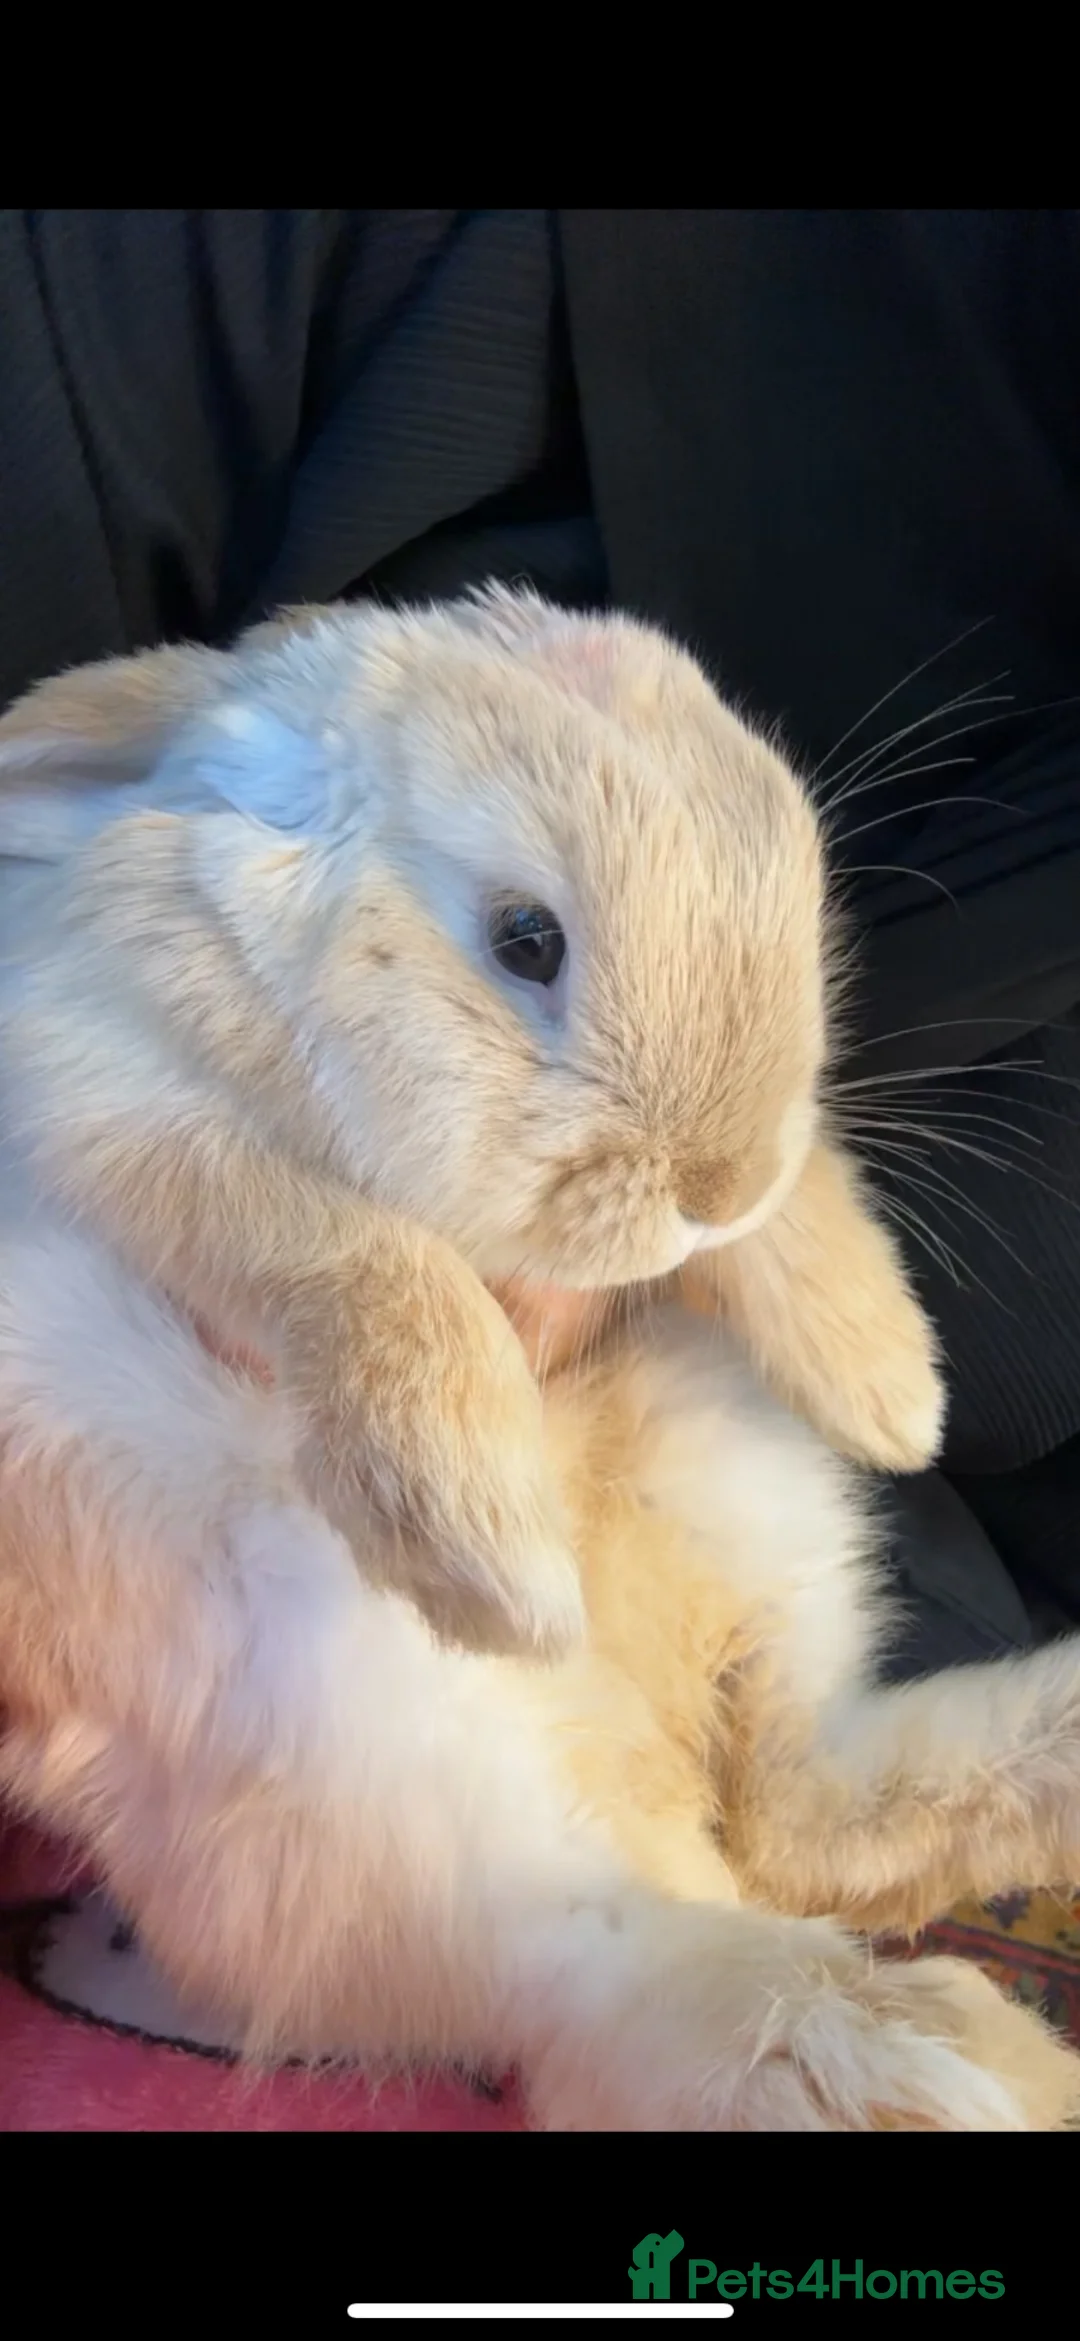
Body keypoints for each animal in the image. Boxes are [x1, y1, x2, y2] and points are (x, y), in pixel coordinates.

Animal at [0, 586, 1077, 2130]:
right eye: (524, 940)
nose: (713, 1175)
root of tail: (654, 1744)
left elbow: (805, 1207)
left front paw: (889, 1388)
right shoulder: (112, 1107)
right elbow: (363, 1265)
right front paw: (500, 1559)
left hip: (752, 1512)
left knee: (794, 1818)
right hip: (426, 1791)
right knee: (655, 1940)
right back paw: (937, 2062)